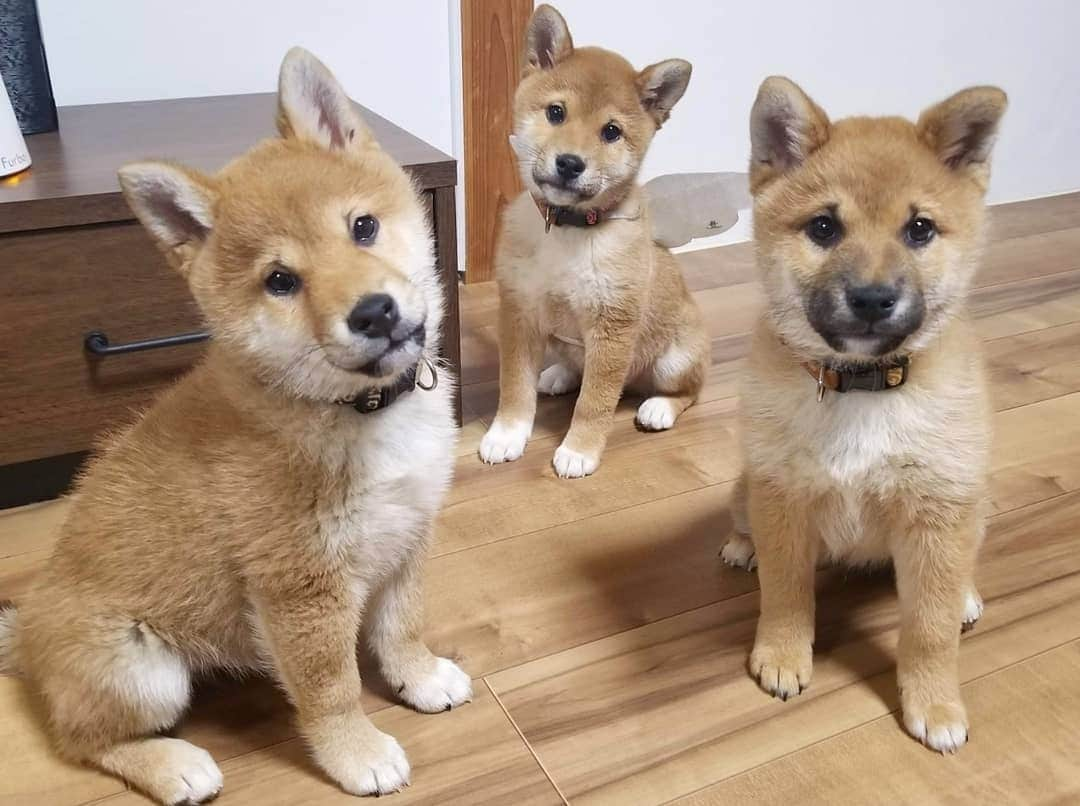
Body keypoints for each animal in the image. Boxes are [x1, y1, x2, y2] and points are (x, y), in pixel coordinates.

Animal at [1, 48, 473, 799]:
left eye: (362, 227)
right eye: (280, 281)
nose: (374, 312)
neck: (350, 411)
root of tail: (24, 631)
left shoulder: (408, 536)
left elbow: (402, 626)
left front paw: (419, 677)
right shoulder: (300, 589)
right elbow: (331, 688)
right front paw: (357, 754)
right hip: (143, 673)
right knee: (80, 742)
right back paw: (173, 766)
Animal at [479, 3, 708, 473]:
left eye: (611, 132)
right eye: (556, 113)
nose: (569, 163)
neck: (567, 229)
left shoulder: (612, 326)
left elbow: (595, 402)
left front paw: (579, 450)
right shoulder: (519, 312)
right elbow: (514, 386)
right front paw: (507, 433)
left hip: (675, 361)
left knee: (689, 390)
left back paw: (658, 407)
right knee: (574, 366)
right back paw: (558, 373)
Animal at [721, 78, 1006, 751]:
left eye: (920, 229)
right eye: (824, 227)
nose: (873, 299)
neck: (862, 389)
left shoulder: (938, 511)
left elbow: (928, 629)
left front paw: (934, 702)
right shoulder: (783, 499)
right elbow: (786, 591)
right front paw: (781, 654)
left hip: (973, 503)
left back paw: (964, 596)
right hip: (748, 487)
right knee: (746, 522)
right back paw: (741, 545)